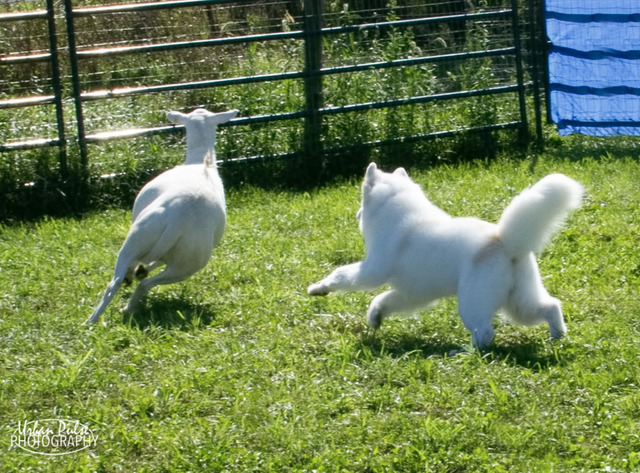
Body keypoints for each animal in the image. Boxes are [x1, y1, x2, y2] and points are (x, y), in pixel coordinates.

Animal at [86, 107, 239, 322]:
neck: (201, 160)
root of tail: (178, 221)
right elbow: (150, 264)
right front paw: (139, 272)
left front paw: (135, 273)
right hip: (186, 264)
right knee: (143, 282)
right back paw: (116, 311)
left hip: (135, 242)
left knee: (119, 283)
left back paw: (101, 316)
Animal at [308, 162, 584, 346]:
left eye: (362, 203)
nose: (356, 215)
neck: (396, 211)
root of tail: (504, 240)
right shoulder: (413, 292)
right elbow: (383, 300)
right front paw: (375, 317)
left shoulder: (372, 270)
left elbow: (341, 274)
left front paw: (318, 288)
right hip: (519, 303)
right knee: (550, 307)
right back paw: (557, 337)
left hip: (473, 303)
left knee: (485, 333)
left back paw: (463, 353)